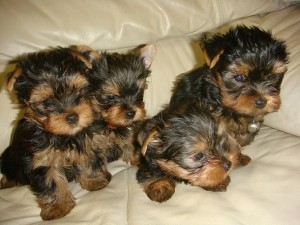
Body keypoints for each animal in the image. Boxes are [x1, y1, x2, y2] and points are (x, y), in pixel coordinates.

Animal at [0, 46, 108, 221]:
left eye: (79, 91)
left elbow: (89, 160)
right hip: (9, 159)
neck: (64, 136)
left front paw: (94, 181)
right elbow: (52, 183)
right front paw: (58, 207)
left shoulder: (87, 143)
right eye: (46, 102)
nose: (72, 117)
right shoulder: (42, 160)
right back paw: (8, 183)